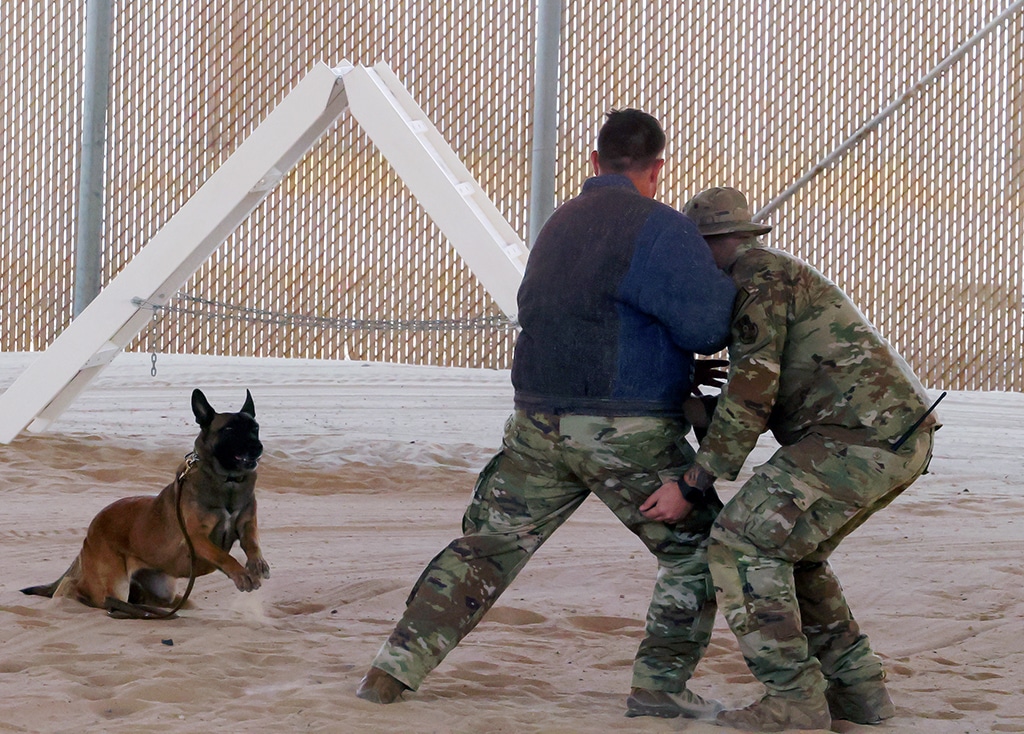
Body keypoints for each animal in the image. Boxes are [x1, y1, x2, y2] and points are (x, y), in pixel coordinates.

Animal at [22, 386, 270, 614]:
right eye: (229, 430)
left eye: (255, 428)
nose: (258, 447)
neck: (228, 481)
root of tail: (91, 531)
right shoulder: (197, 537)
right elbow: (223, 556)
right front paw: (241, 574)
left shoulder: (247, 525)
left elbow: (253, 543)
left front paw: (257, 564)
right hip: (115, 583)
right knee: (78, 589)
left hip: (161, 590)